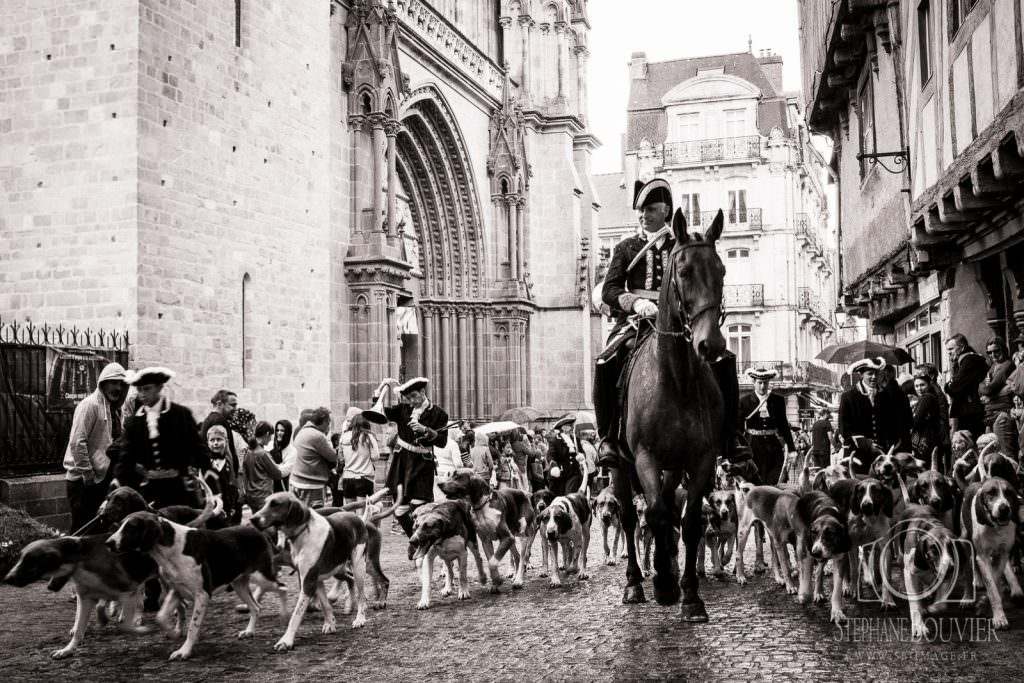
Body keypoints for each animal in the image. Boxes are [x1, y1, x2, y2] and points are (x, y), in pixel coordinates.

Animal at [610, 206, 724, 618]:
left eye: (722, 270)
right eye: (684, 271)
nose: (710, 345)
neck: (675, 380)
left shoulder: (702, 457)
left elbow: (687, 521)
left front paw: (688, 593)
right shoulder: (645, 457)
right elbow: (655, 513)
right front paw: (661, 583)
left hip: (674, 466)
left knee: (670, 509)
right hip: (619, 465)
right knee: (631, 517)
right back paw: (635, 582)